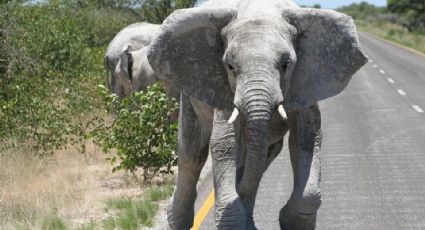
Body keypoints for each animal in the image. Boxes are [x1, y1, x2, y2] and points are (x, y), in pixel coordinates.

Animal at [147, 0, 366, 229]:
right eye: (230, 66)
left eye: (286, 65)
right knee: (192, 152)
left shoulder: (307, 80)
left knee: (263, 157)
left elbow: (307, 138)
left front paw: (289, 220)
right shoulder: (223, 86)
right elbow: (225, 143)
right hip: (188, 92)